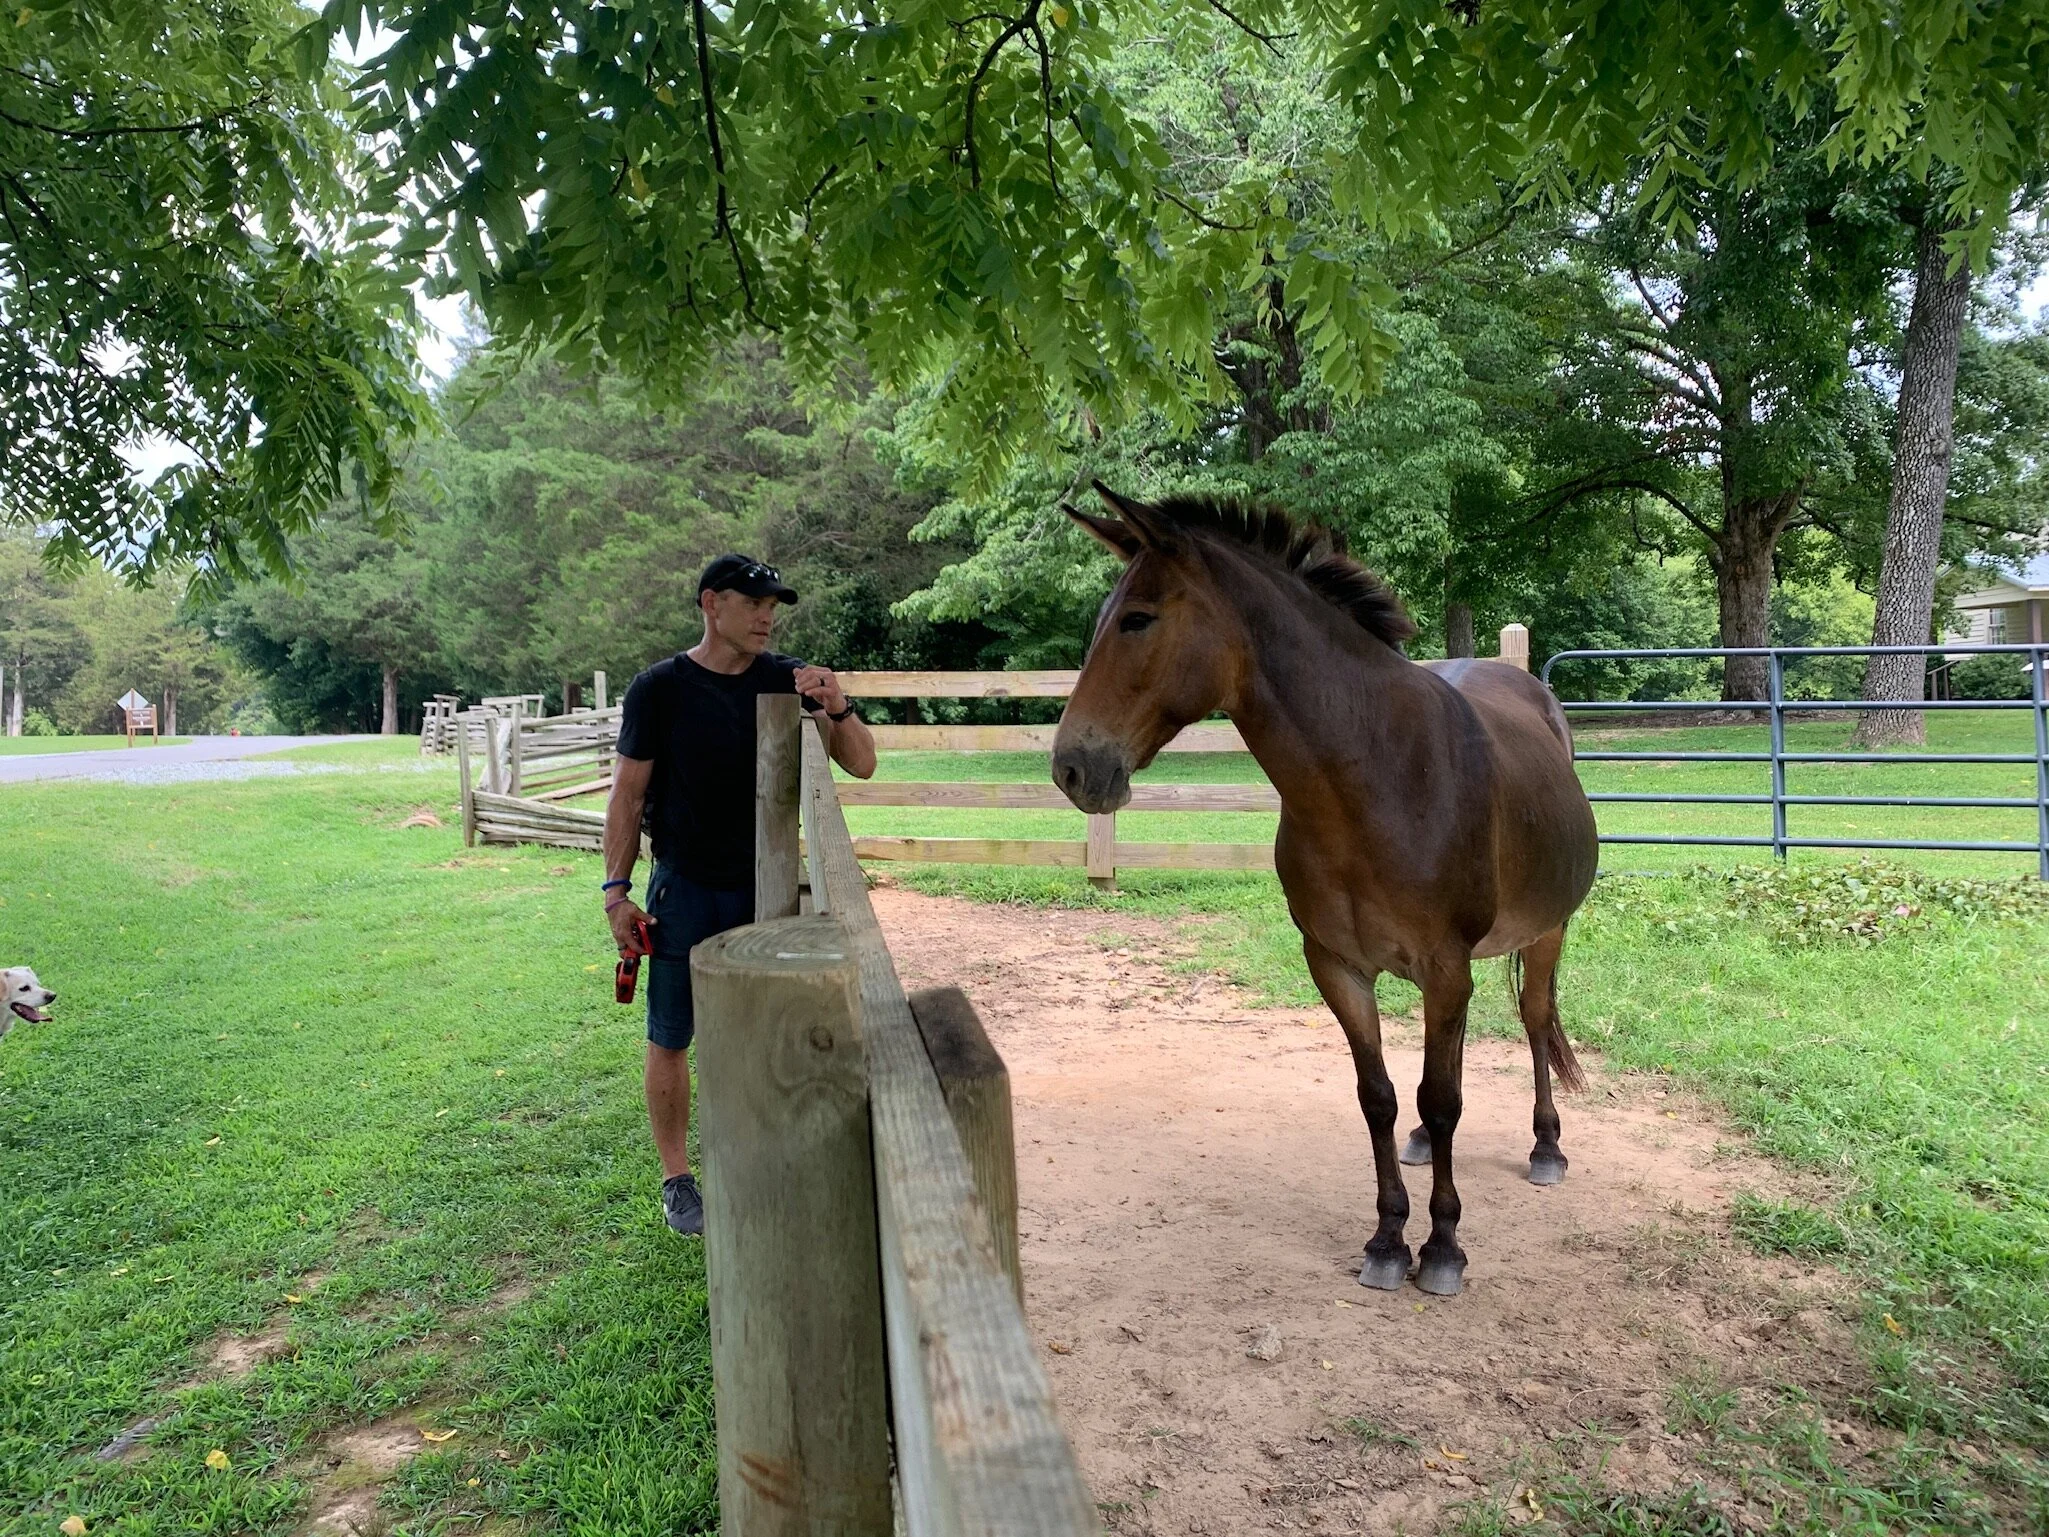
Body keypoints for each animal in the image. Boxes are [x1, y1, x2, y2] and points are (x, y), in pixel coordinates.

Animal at [1050, 484, 1599, 1296]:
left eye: (1137, 619)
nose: (1071, 767)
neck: (1375, 777)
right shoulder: (1338, 966)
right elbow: (1381, 1097)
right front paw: (1387, 1237)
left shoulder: (1444, 967)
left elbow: (1442, 1098)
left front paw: (1442, 1246)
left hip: (1544, 932)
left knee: (1533, 1022)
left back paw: (1546, 1146)